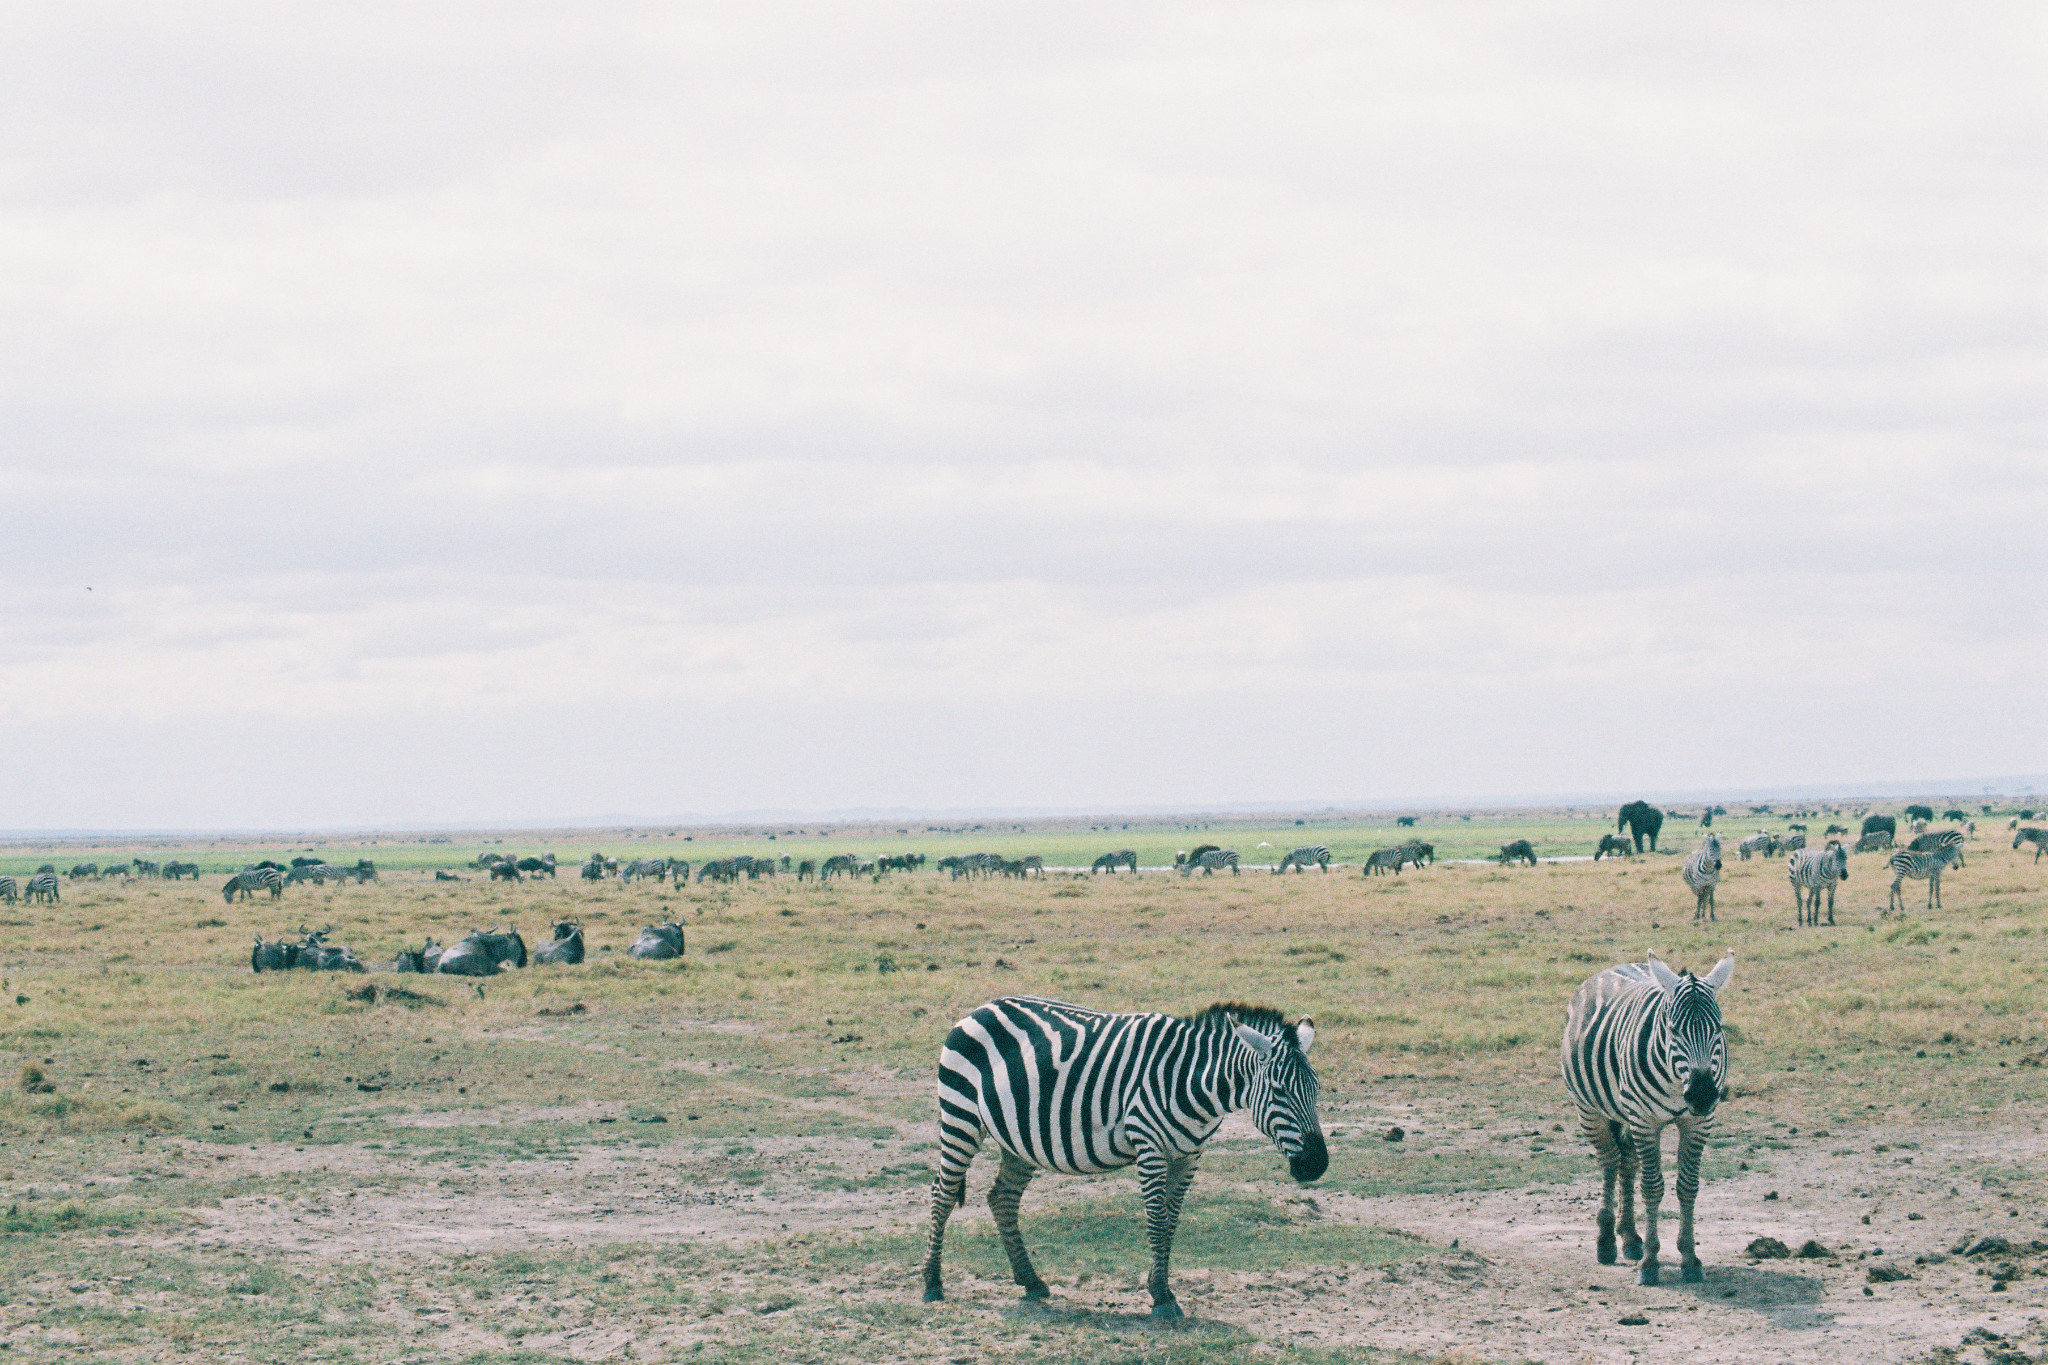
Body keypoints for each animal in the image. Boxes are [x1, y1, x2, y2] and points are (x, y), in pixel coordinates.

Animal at [925, 998, 1327, 1317]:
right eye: (1278, 1090)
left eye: (1316, 1089)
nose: (1316, 1164)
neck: (1192, 1082)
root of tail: (981, 1008)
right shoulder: (1149, 1148)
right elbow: (1156, 1220)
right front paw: (1162, 1297)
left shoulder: (1189, 1156)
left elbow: (1171, 1221)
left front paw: (1158, 1287)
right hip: (960, 1117)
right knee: (942, 1194)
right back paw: (932, 1283)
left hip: (1017, 1139)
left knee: (1003, 1198)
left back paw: (1031, 1281)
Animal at [1556, 957, 1736, 1285]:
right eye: (1674, 1029)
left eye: (1718, 1027)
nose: (1703, 1094)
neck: (1678, 1083)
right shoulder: (1645, 1120)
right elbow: (1652, 1187)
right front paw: (1651, 1262)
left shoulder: (1699, 1123)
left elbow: (1688, 1186)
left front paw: (1689, 1258)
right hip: (1590, 1110)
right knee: (1610, 1159)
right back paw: (1606, 1241)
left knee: (1627, 1160)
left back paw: (1629, 1237)